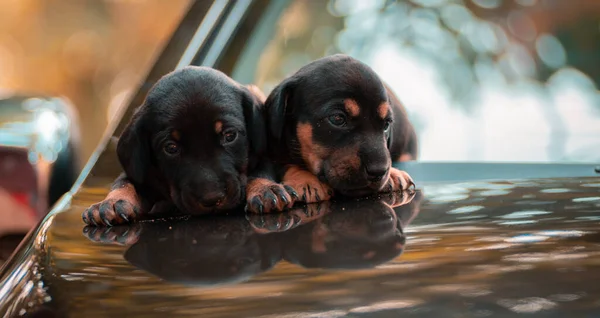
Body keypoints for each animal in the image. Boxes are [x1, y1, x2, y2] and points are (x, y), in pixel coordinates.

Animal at [82, 66, 264, 226]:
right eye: (171, 148)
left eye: (230, 135)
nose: (212, 198)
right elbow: (124, 182)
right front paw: (111, 202)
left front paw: (262, 189)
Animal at [246, 54, 414, 214]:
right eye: (337, 118)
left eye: (386, 125)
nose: (379, 171)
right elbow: (283, 163)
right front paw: (306, 180)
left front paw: (393, 174)